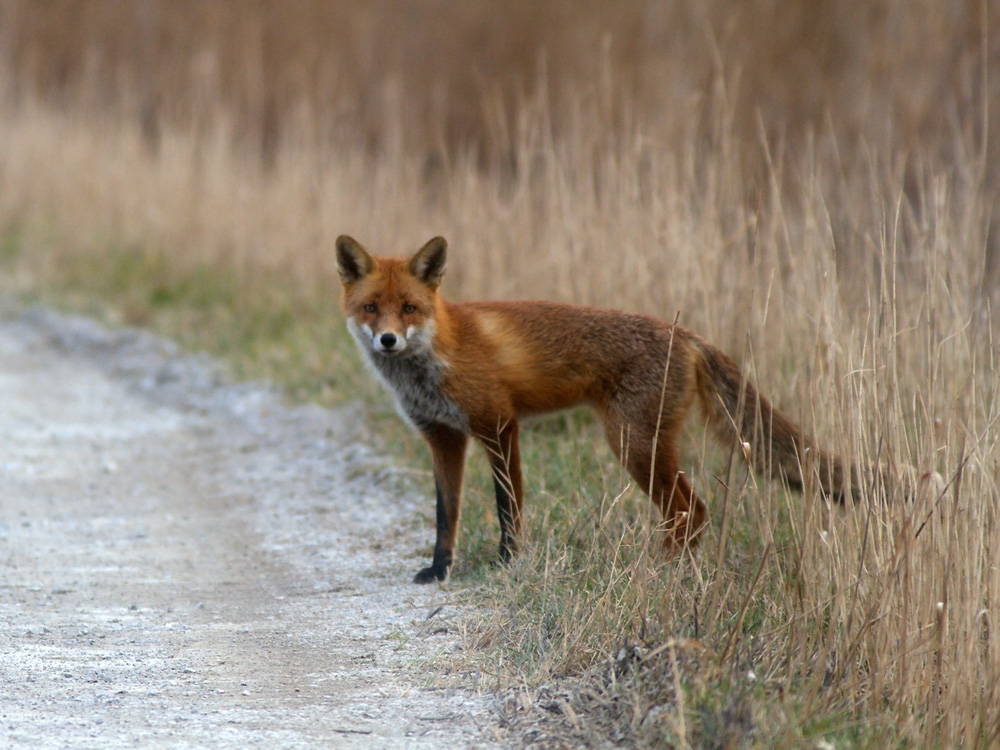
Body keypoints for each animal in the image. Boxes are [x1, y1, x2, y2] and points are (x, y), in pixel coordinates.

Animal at [334, 238, 860, 584]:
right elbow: (447, 513)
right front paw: (440, 569)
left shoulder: (498, 424)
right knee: (691, 512)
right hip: (641, 444)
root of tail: (688, 336)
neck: (437, 354)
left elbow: (508, 506)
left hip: (633, 444)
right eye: (371, 307)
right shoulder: (443, 437)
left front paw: (508, 563)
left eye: (409, 308)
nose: (387, 340)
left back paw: (660, 572)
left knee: (691, 510)